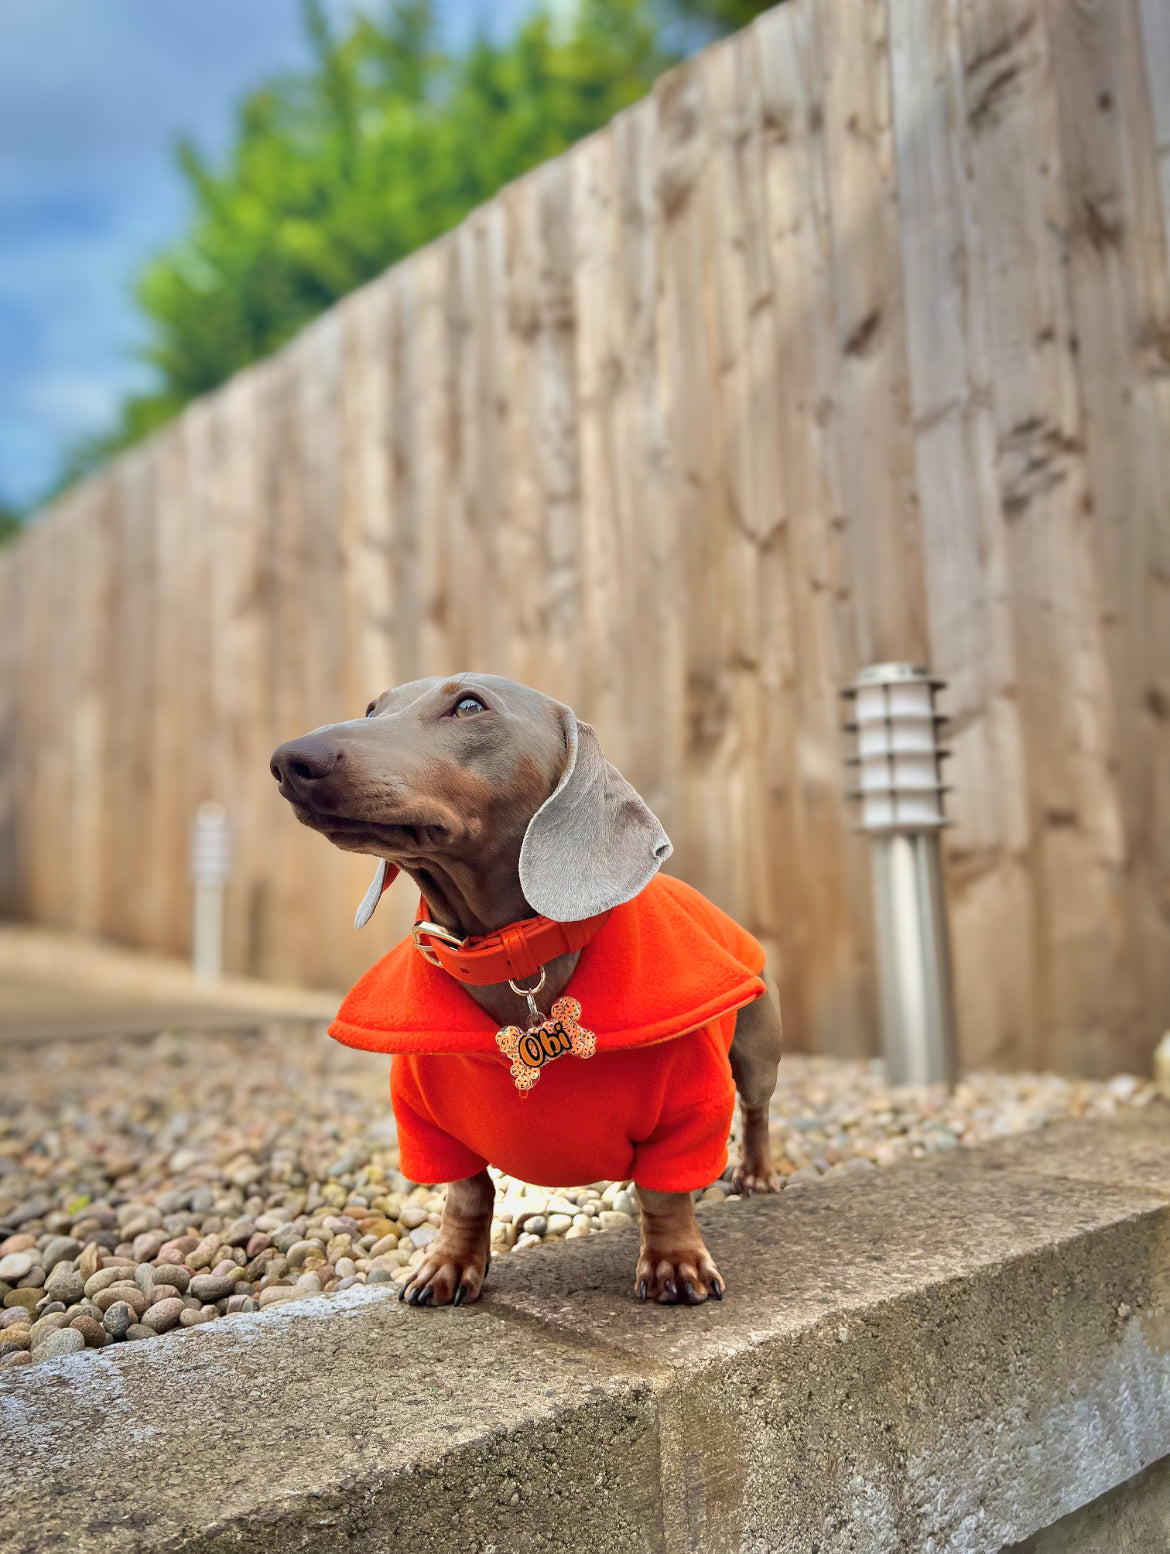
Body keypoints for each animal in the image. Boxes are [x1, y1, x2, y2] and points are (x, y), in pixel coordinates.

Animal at [271, 674, 786, 1305]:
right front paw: (448, 1265)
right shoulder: (428, 1124)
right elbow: (468, 1194)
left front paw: (675, 1263)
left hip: (758, 1051)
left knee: (757, 1111)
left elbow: (665, 1194)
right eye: (372, 708)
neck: (514, 957)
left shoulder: (689, 1111)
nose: (290, 760)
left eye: (469, 705)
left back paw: (756, 1174)